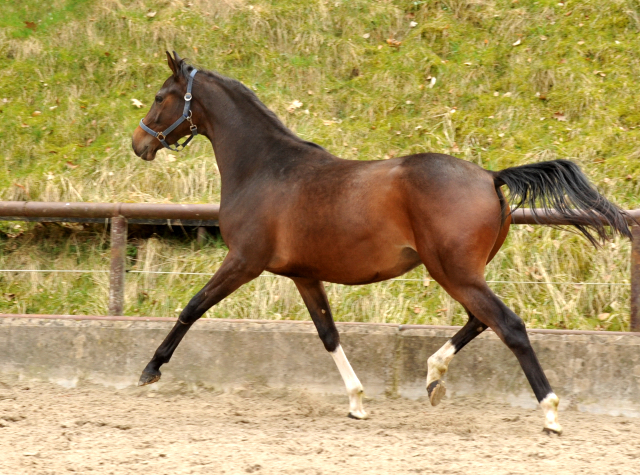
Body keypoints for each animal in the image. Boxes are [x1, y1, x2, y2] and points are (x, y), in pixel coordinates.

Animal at [130, 52, 632, 436]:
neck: (264, 167)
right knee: (480, 320)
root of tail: (491, 177)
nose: (138, 143)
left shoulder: (243, 261)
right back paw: (433, 377)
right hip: (462, 273)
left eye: (159, 97)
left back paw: (549, 412)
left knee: (508, 325)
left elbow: (193, 306)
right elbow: (328, 334)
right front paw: (356, 402)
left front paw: (150, 370)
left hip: (452, 271)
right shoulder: (304, 275)